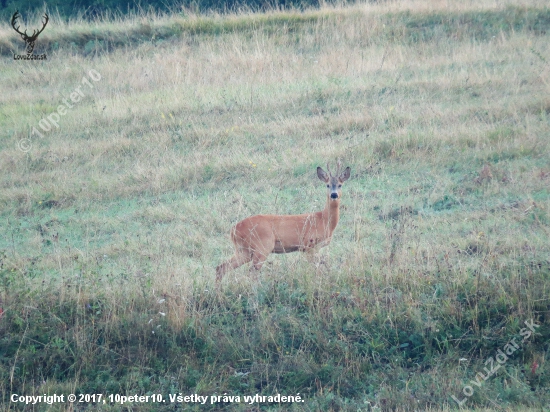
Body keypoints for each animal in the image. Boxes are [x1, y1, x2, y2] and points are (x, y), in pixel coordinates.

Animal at [218, 159, 352, 282]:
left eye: (340, 185)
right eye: (327, 185)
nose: (334, 195)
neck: (323, 220)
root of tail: (234, 229)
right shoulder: (309, 245)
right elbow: (317, 269)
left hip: (243, 250)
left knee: (221, 267)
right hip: (262, 246)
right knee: (251, 272)